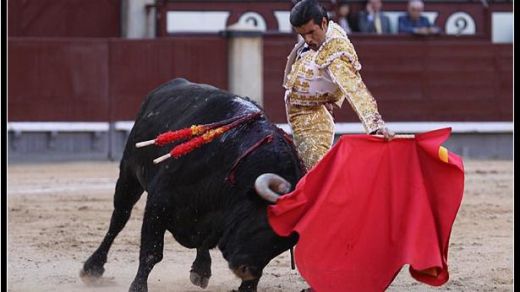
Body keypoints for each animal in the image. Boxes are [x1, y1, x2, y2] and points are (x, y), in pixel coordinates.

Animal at [80, 78, 304, 290]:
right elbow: (152, 253)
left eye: (285, 244)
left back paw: (201, 270)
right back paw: (92, 268)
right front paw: (137, 287)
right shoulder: (158, 203)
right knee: (119, 218)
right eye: (263, 222)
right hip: (129, 174)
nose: (246, 271)